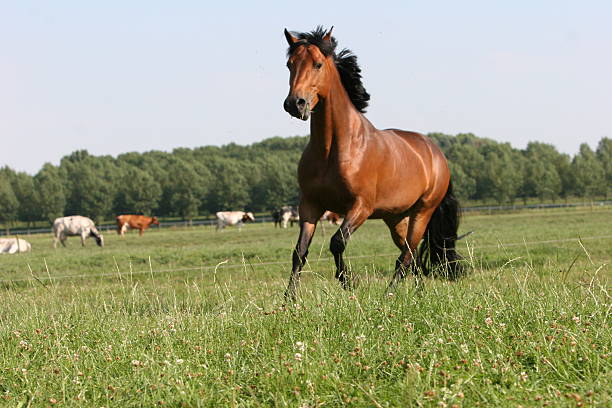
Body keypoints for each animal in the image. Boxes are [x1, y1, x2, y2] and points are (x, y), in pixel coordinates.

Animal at [282, 26, 464, 300]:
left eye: (317, 64)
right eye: (289, 64)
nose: (296, 103)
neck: (332, 149)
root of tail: (436, 154)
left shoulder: (361, 206)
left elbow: (337, 242)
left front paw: (347, 282)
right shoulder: (310, 205)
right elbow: (299, 252)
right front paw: (290, 298)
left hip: (423, 211)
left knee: (407, 254)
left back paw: (389, 294)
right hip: (396, 218)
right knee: (411, 254)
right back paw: (419, 293)